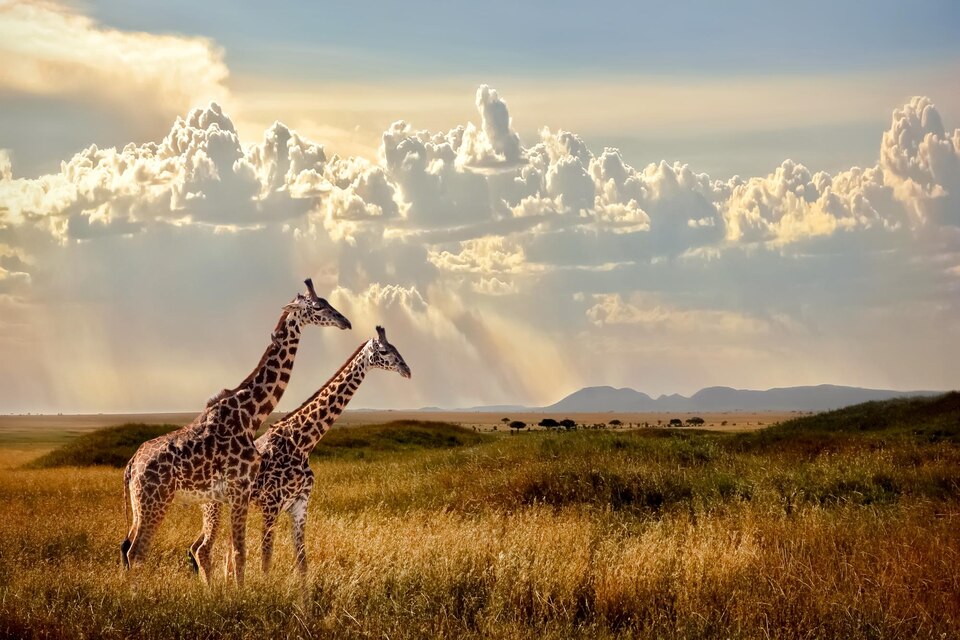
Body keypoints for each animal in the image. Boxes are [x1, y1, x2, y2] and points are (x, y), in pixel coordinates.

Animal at [120, 276, 350, 584]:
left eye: (326, 302)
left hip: (140, 506)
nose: (345, 321)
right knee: (137, 552)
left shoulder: (237, 493)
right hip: (154, 502)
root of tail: (132, 465)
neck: (249, 415)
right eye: (316, 306)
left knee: (128, 548)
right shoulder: (240, 488)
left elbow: (237, 553)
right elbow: (240, 554)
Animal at [189, 328, 410, 576]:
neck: (302, 442)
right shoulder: (271, 504)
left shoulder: (300, 504)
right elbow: (266, 559)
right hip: (213, 505)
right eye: (384, 351)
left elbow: (303, 562)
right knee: (203, 549)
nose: (407, 370)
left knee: (211, 549)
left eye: (396, 347)